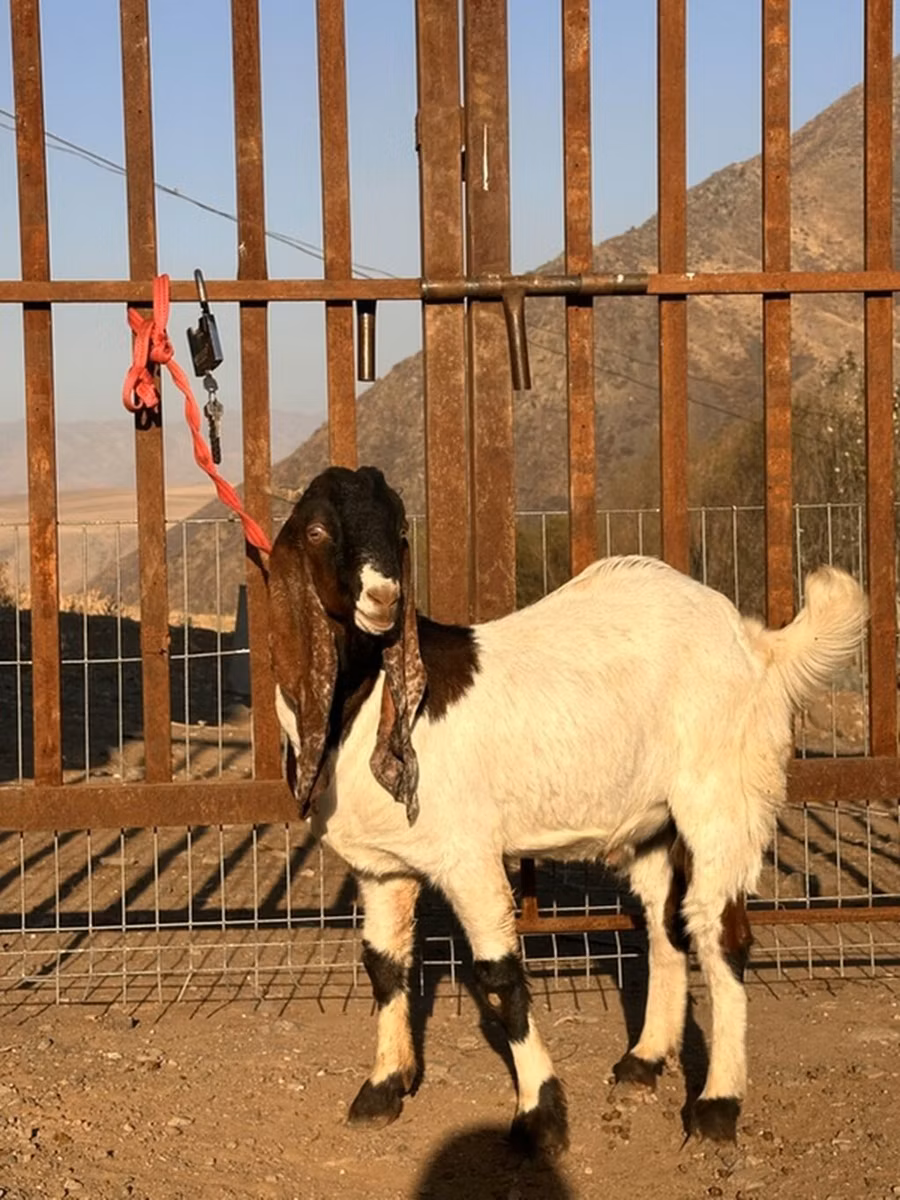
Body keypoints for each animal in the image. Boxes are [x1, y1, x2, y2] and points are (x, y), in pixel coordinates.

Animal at [267, 464, 867, 1155]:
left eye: (399, 530)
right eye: (317, 530)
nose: (383, 598)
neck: (369, 706)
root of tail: (758, 646)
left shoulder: (468, 854)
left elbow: (499, 976)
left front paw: (540, 1113)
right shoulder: (381, 867)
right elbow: (386, 966)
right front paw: (383, 1087)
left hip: (722, 794)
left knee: (721, 932)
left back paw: (717, 1104)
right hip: (653, 821)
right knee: (665, 925)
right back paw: (644, 1060)